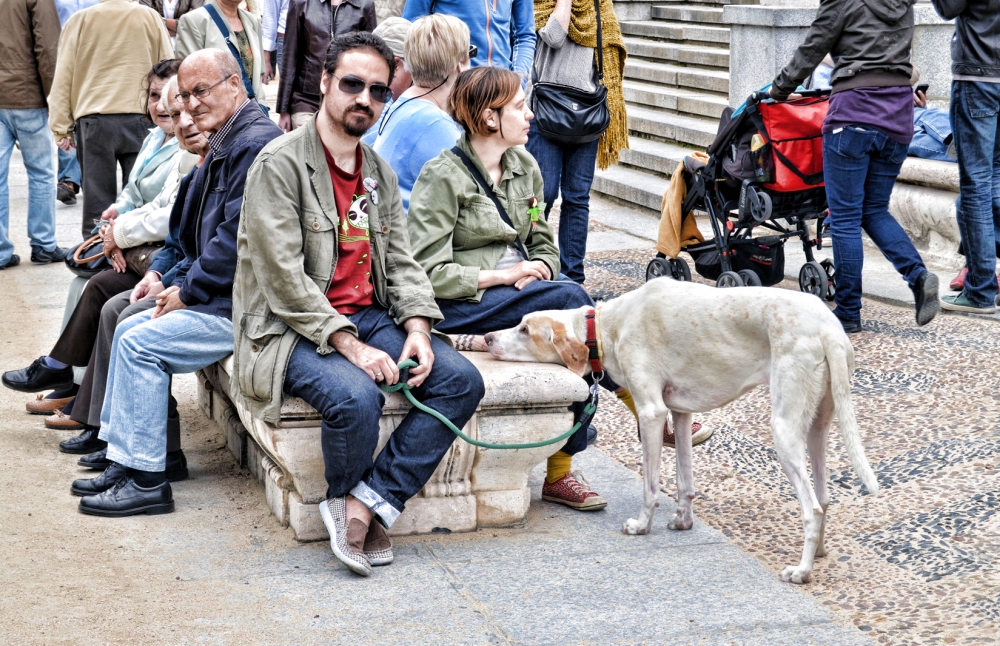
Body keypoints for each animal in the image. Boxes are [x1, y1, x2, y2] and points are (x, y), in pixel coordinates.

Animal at [480, 280, 880, 588]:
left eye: (524, 330)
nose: (486, 337)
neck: (609, 325)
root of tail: (829, 327)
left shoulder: (652, 413)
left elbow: (651, 485)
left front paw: (642, 525)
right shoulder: (682, 414)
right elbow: (685, 480)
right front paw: (683, 521)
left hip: (783, 429)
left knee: (812, 508)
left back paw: (802, 571)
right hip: (816, 427)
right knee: (824, 497)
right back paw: (820, 552)